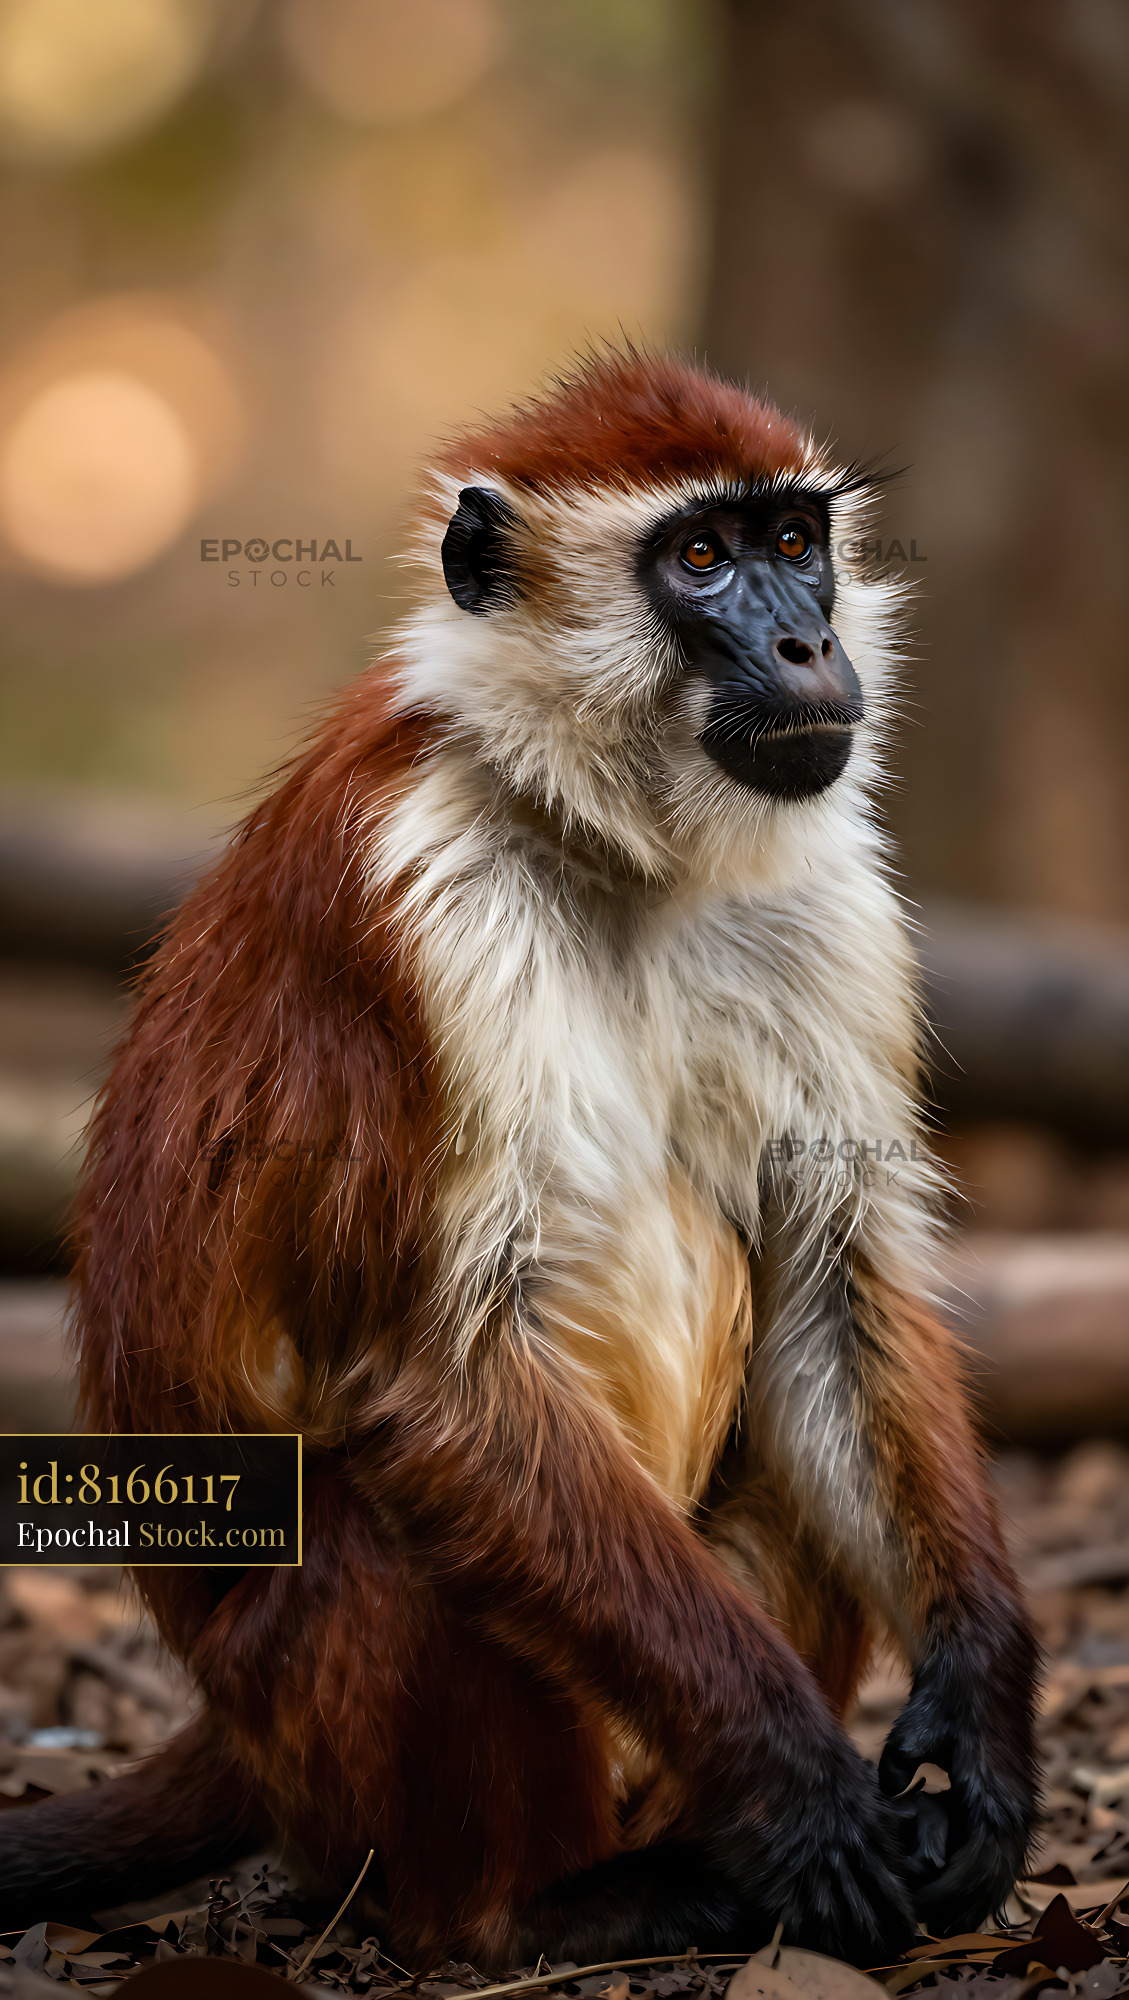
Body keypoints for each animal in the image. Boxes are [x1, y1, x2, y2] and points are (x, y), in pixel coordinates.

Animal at [0, 351, 1038, 1964]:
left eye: (792, 541)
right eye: (699, 559)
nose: (804, 639)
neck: (614, 848)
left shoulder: (822, 882)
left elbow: (831, 1289)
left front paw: (980, 1711)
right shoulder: (412, 889)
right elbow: (430, 1378)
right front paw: (796, 1786)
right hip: (318, 1710)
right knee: (387, 1524)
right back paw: (545, 1906)